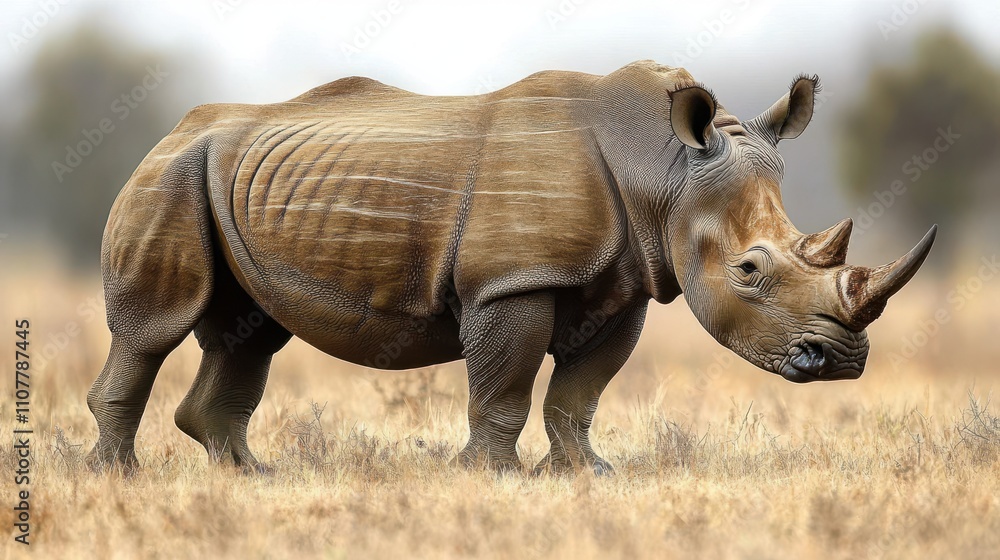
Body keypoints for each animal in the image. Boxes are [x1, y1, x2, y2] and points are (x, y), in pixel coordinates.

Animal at [87, 60, 936, 475]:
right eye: (751, 271)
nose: (841, 360)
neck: (665, 172)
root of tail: (171, 132)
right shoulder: (513, 282)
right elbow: (503, 386)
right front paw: (490, 476)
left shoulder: (626, 284)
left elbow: (579, 392)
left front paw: (586, 474)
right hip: (168, 177)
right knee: (154, 329)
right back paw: (118, 476)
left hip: (230, 182)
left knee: (250, 334)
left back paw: (248, 475)